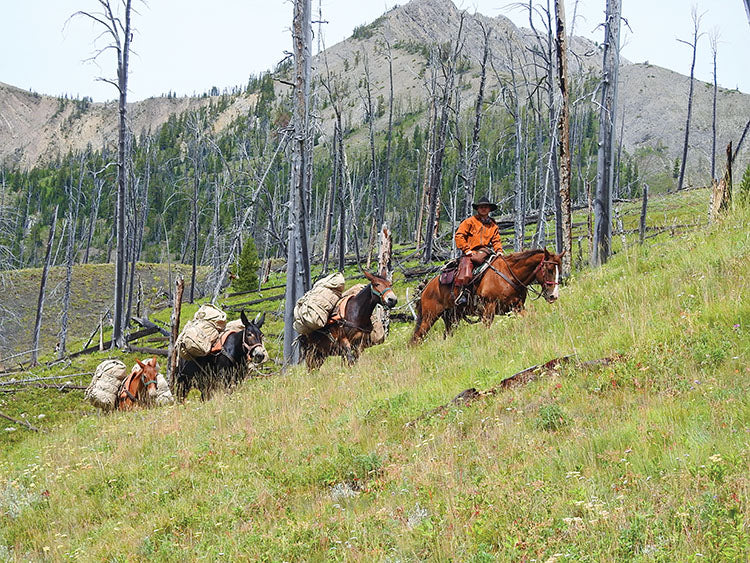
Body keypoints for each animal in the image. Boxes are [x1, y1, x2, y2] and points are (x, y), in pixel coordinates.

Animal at [412, 250, 564, 344]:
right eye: (549, 270)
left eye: (559, 270)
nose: (553, 295)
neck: (510, 275)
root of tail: (425, 289)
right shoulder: (488, 310)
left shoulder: (517, 307)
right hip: (429, 318)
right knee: (416, 338)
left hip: (452, 318)